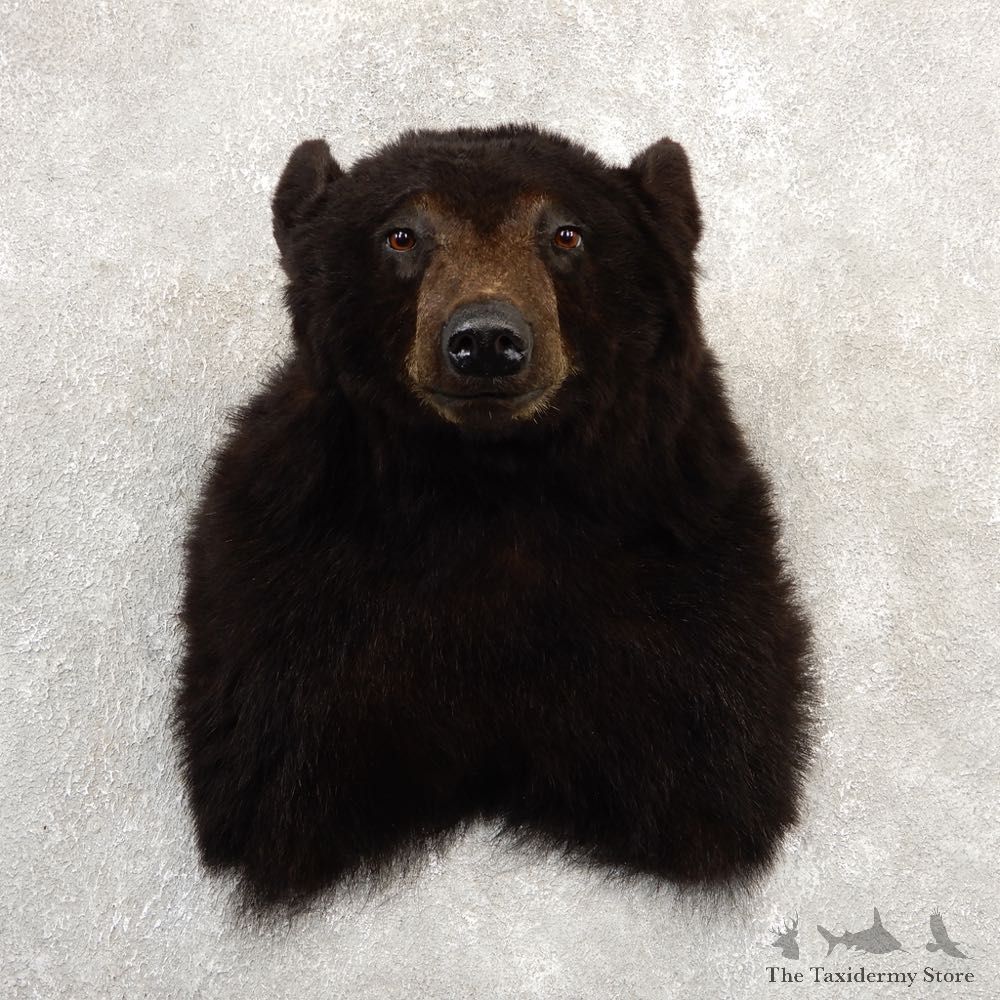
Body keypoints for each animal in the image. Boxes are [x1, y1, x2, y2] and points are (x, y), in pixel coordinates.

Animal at [174, 124, 815, 911]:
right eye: (401, 235)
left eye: (566, 233)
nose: (485, 341)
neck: (489, 489)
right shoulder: (289, 582)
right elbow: (275, 750)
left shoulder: (687, 567)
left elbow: (714, 743)